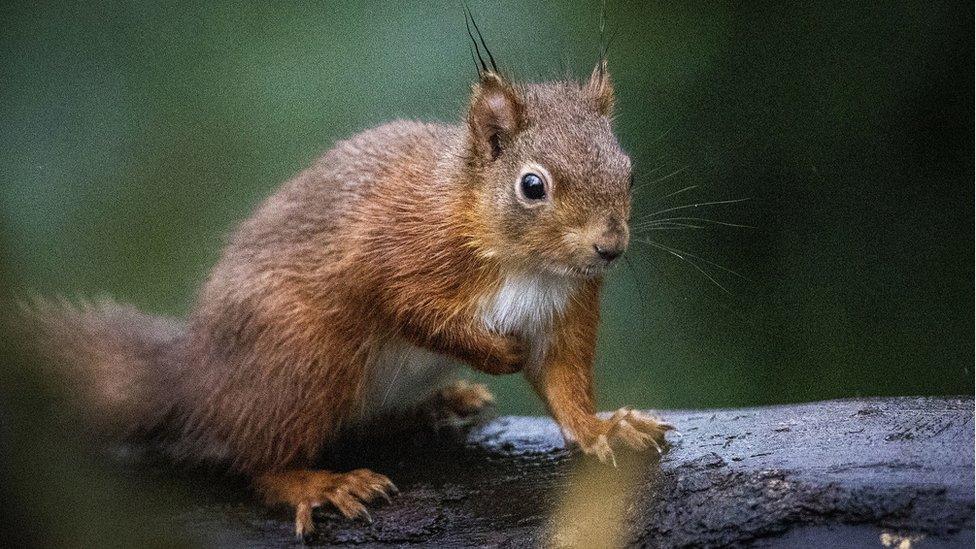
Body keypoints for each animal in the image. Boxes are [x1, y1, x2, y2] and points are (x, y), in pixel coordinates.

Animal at [28, 41, 672, 536]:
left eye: (629, 170)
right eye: (532, 186)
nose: (609, 247)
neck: (525, 264)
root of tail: (193, 380)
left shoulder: (567, 307)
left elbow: (563, 383)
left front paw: (602, 427)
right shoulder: (389, 254)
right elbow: (410, 310)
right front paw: (498, 353)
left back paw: (436, 405)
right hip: (304, 359)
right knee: (255, 459)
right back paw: (315, 482)